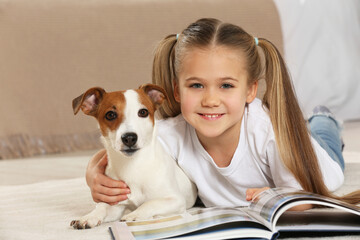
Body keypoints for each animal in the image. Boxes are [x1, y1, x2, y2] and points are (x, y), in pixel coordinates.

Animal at [70, 84, 198, 229]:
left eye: (143, 112)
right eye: (110, 115)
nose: (129, 138)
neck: (133, 166)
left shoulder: (175, 200)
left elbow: (150, 203)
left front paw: (134, 215)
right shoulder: (116, 205)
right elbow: (102, 207)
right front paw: (89, 216)